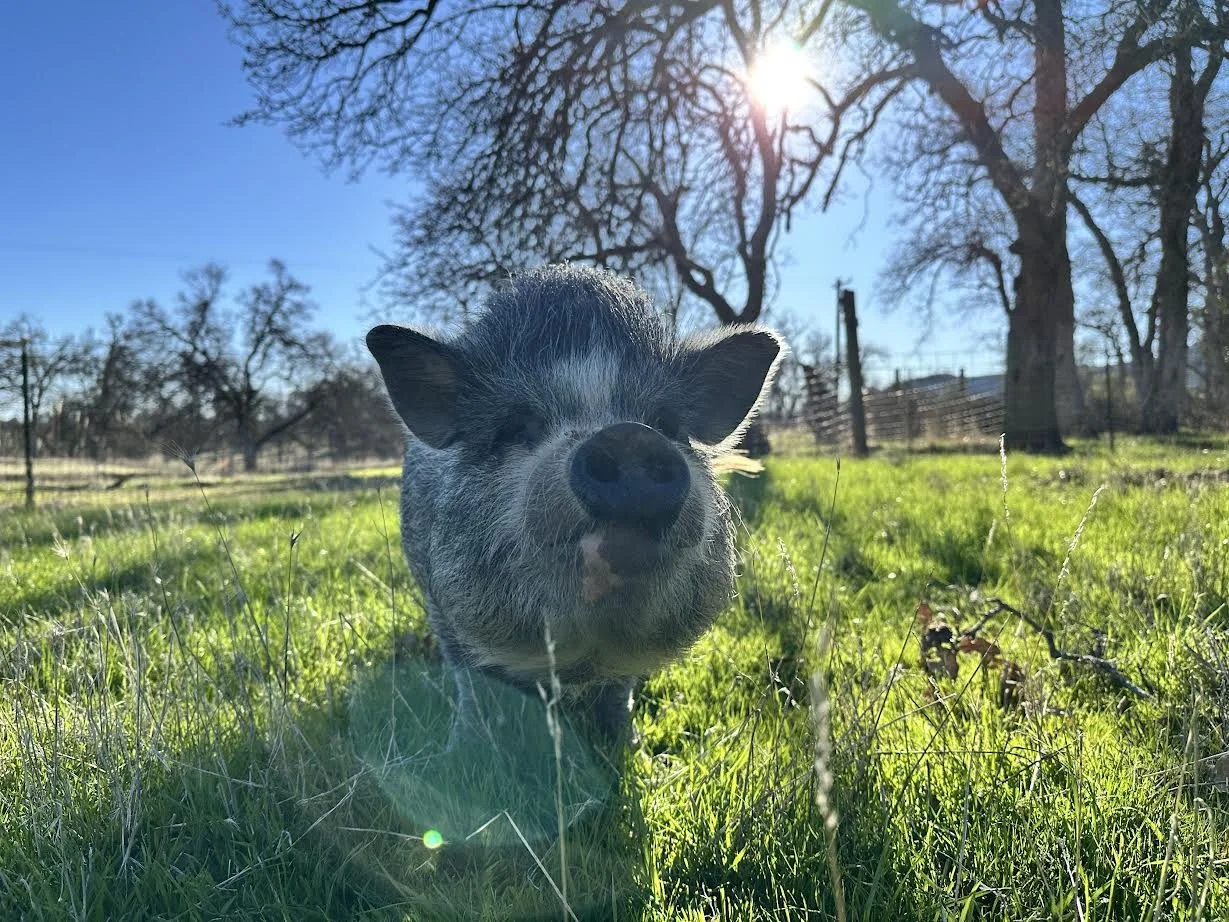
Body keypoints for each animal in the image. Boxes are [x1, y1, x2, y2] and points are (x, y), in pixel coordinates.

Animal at [366, 265, 782, 749]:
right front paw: (463, 749)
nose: (628, 437)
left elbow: (619, 694)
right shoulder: (444, 610)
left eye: (664, 424)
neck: (579, 660)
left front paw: (629, 746)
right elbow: (470, 681)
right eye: (517, 426)